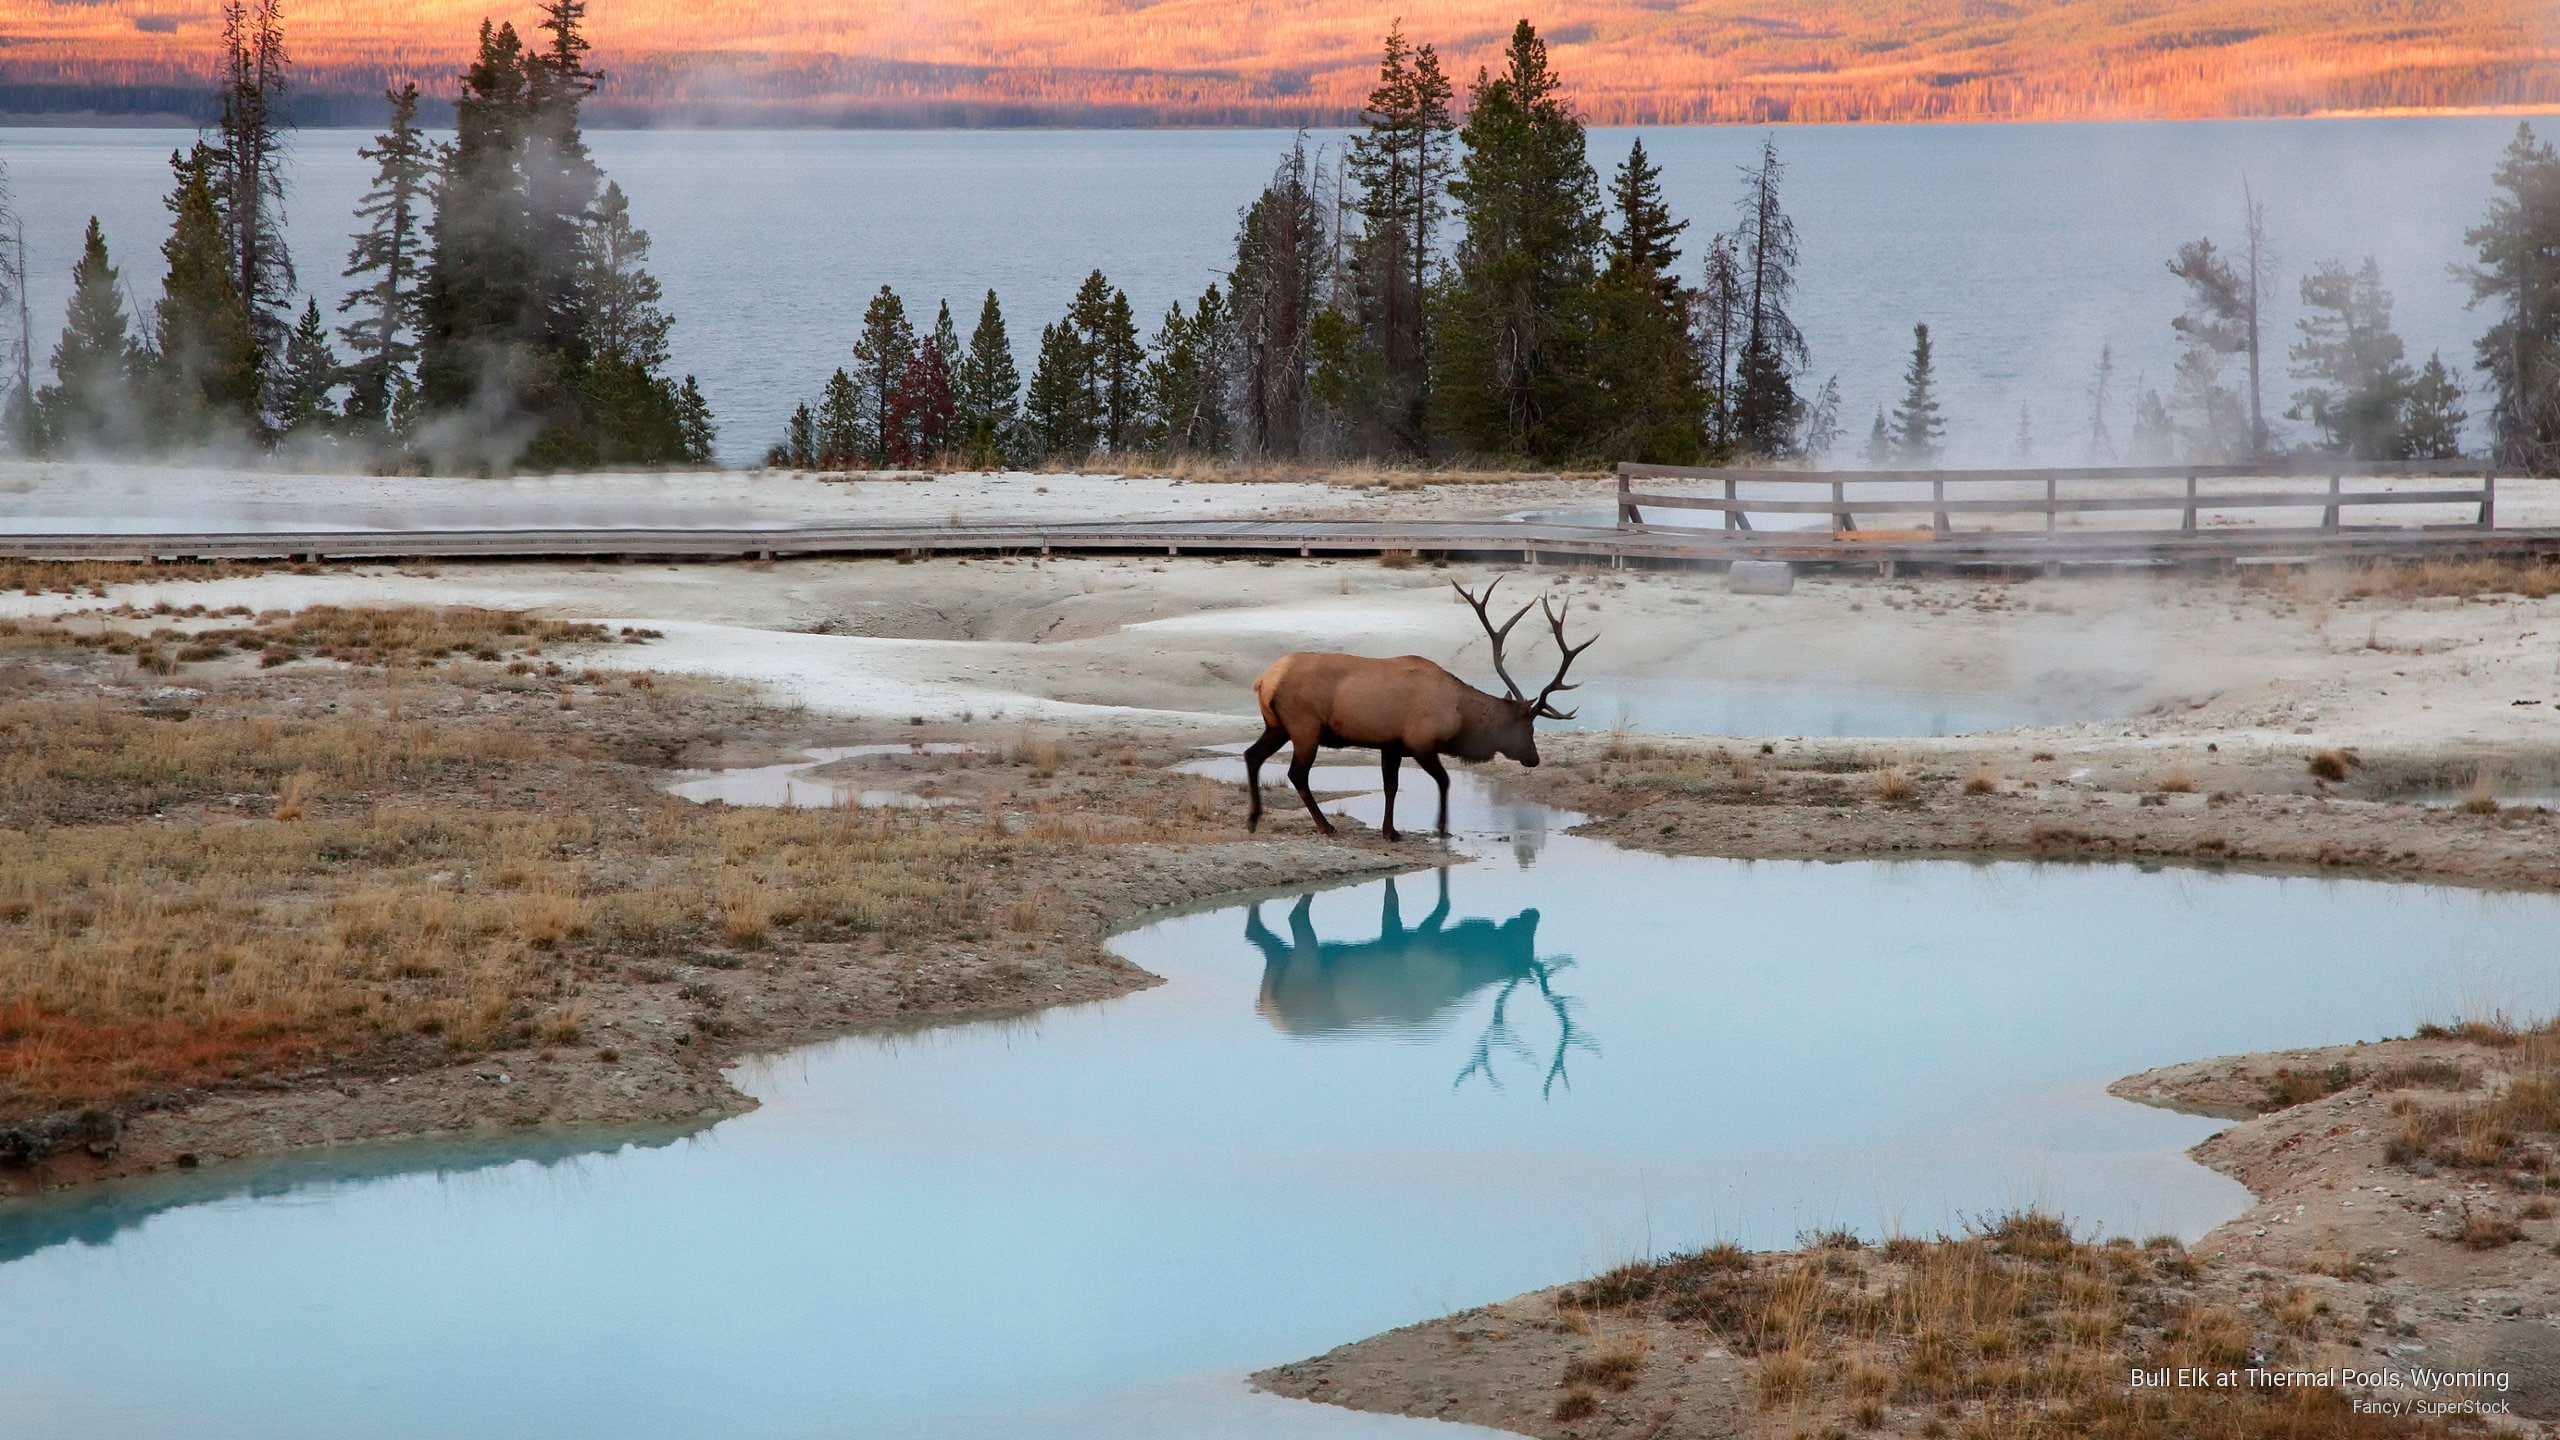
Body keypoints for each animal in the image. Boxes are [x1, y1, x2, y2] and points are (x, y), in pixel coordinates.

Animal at [1243, 577, 1595, 841]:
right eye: (1528, 727)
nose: (1534, 759)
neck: (1459, 716)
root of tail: (1264, 680)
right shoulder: (1421, 741)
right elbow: (1444, 780)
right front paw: (1441, 827)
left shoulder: (1390, 744)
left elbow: (1391, 786)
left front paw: (1390, 831)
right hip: (1305, 725)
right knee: (1297, 773)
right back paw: (1324, 826)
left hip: (1277, 725)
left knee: (1252, 755)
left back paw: (1254, 818)